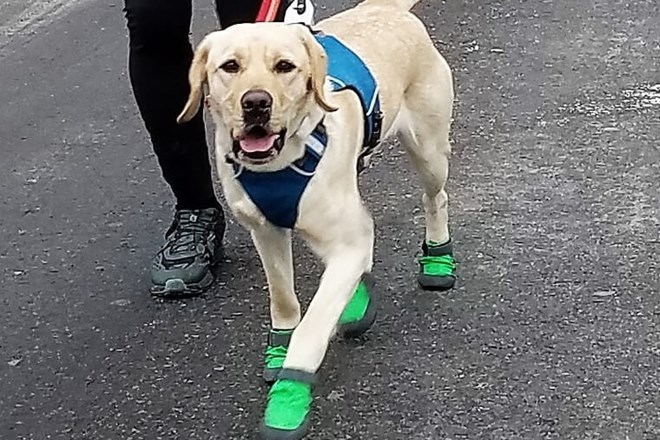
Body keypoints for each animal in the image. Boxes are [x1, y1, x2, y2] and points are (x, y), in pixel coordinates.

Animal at [177, 0, 454, 436]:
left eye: (285, 66)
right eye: (230, 66)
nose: (256, 103)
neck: (281, 164)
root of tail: (384, 8)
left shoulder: (347, 242)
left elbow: (313, 326)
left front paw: (289, 397)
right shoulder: (266, 231)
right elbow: (284, 298)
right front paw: (280, 348)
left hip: (429, 152)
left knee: (435, 198)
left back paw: (439, 259)